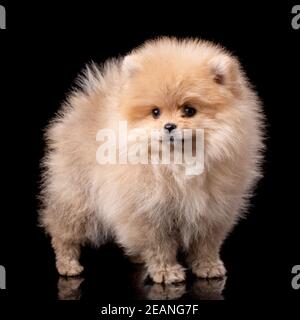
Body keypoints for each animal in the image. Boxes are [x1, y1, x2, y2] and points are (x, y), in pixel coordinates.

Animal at [39, 36, 264, 284]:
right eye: (155, 112)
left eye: (189, 110)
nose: (169, 126)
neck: (178, 162)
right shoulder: (150, 211)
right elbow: (160, 245)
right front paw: (166, 271)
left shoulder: (213, 210)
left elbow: (206, 244)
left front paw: (208, 266)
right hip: (78, 198)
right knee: (62, 233)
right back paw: (68, 265)